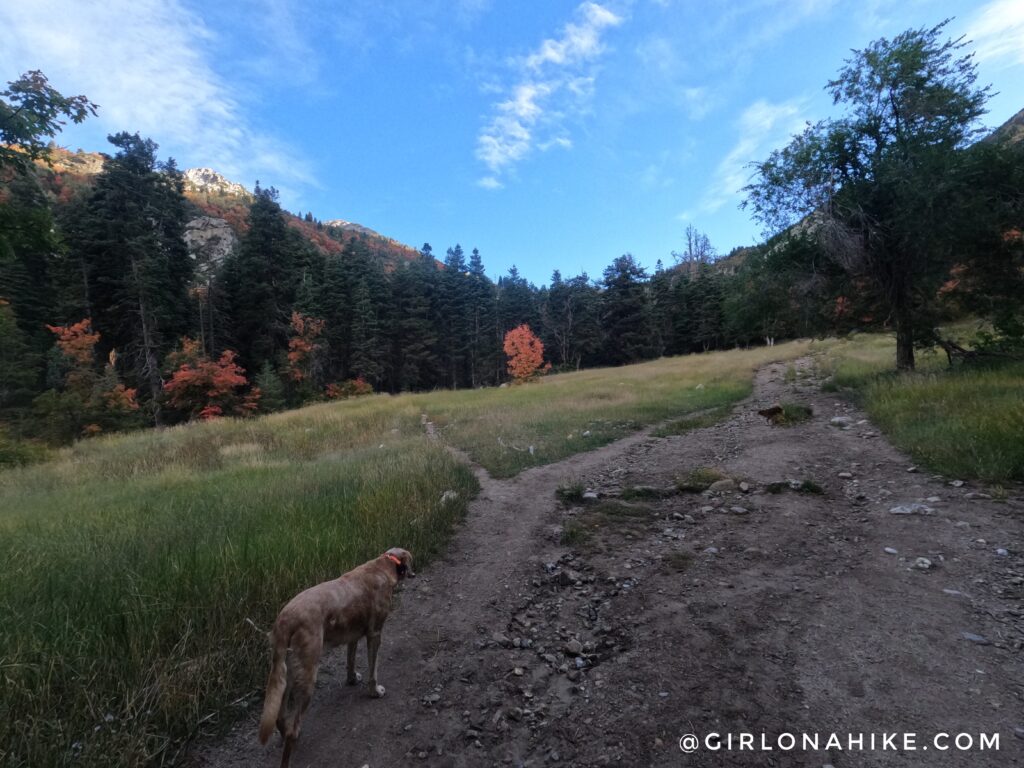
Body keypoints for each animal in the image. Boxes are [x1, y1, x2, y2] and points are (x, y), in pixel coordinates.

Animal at [258, 548, 413, 765]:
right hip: (307, 676)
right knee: (291, 730)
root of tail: (285, 620)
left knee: (281, 718)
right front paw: (374, 691)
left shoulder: (353, 635)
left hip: (286, 673)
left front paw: (351, 679)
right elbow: (373, 672)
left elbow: (350, 660)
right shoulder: (374, 634)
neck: (383, 565)